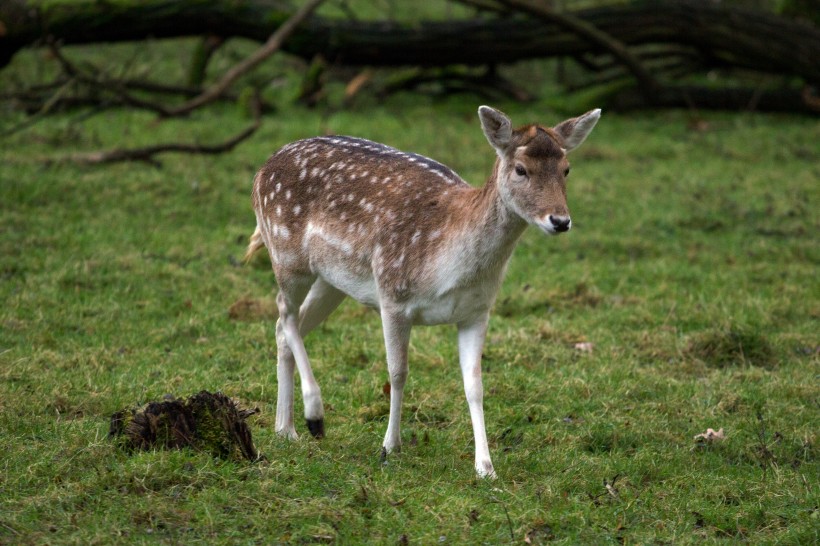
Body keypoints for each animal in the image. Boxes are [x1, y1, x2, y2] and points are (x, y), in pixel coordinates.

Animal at [247, 104, 600, 474]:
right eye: (521, 169)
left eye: (567, 169)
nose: (560, 221)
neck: (450, 268)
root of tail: (260, 172)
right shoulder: (392, 293)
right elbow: (397, 372)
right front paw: (390, 446)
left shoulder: (477, 311)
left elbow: (475, 385)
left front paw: (485, 467)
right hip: (286, 254)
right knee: (284, 314)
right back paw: (313, 415)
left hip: (332, 281)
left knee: (285, 326)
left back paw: (285, 429)